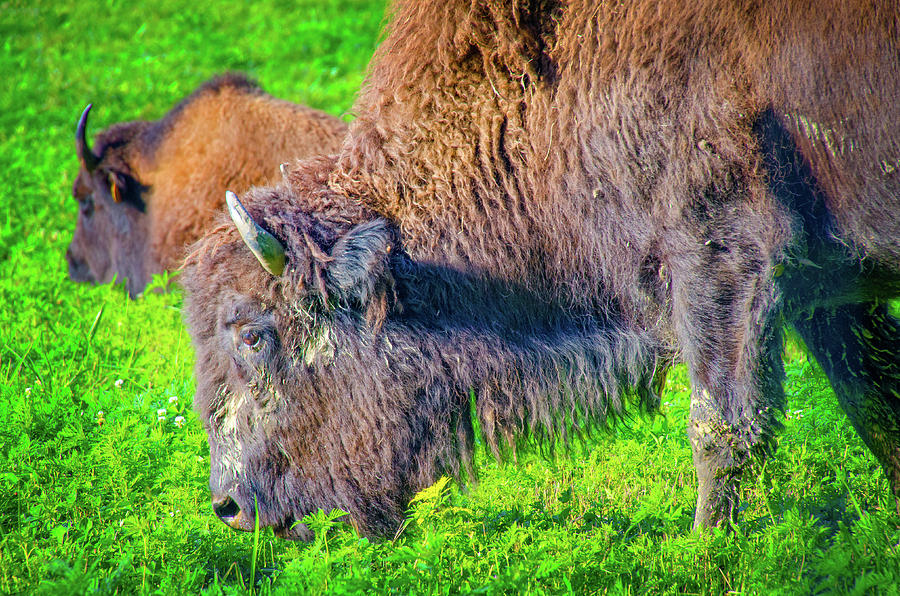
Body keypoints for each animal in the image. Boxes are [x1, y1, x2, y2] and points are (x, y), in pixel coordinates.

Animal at [184, 1, 900, 539]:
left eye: (253, 334)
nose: (229, 505)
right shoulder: (823, 294)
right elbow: (876, 405)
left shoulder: (720, 264)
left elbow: (723, 426)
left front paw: (707, 552)